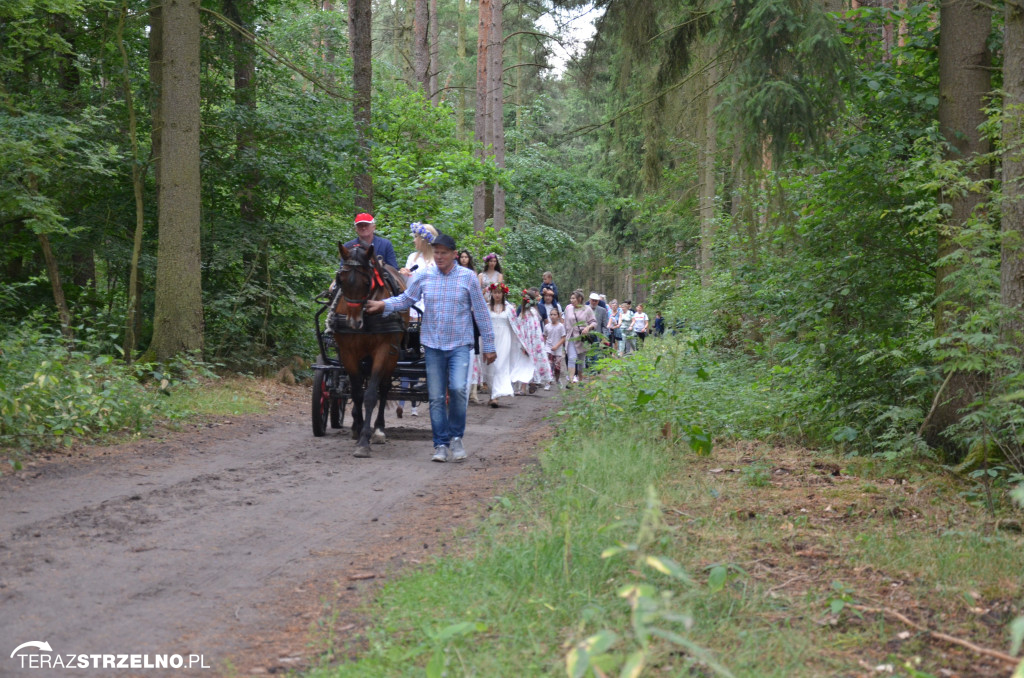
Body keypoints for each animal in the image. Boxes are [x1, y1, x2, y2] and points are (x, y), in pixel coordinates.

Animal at [329, 241, 405, 458]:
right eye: (341, 279)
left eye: (366, 281)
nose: (354, 323)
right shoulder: (348, 352)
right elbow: (356, 393)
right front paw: (358, 429)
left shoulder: (383, 350)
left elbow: (371, 395)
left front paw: (365, 440)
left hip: (393, 355)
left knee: (384, 387)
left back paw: (378, 429)